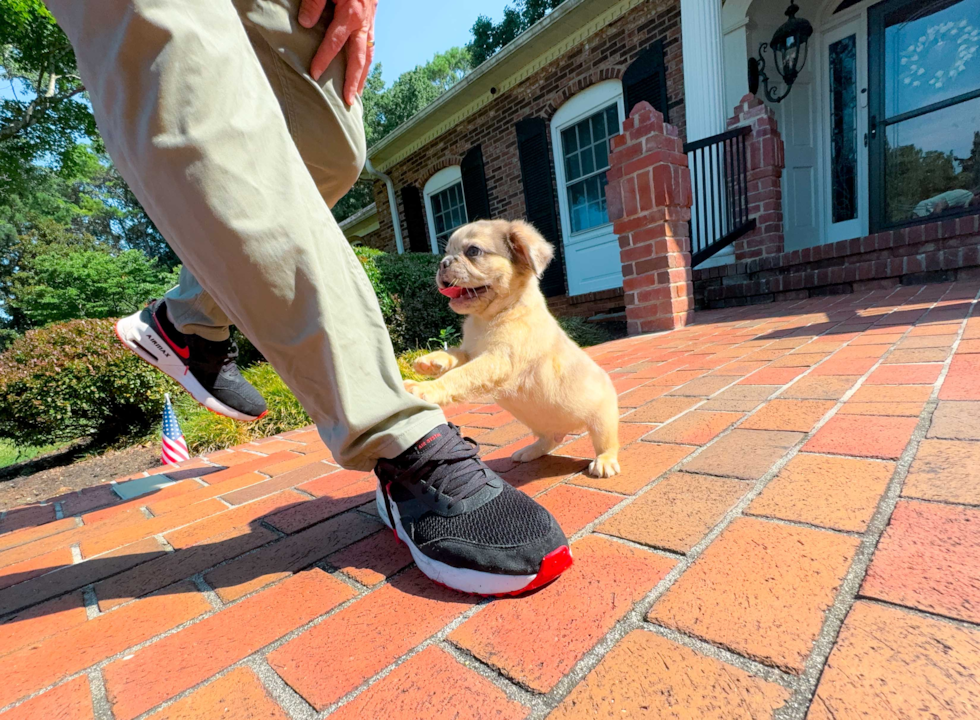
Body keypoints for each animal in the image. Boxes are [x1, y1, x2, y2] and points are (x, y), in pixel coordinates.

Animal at [404, 219, 620, 478]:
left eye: (473, 251)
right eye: (446, 252)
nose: (442, 263)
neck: (488, 318)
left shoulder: (496, 360)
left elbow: (459, 376)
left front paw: (426, 388)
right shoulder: (472, 352)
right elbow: (454, 354)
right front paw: (429, 361)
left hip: (602, 420)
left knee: (606, 442)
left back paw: (604, 461)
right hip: (541, 425)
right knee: (550, 439)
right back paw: (530, 451)